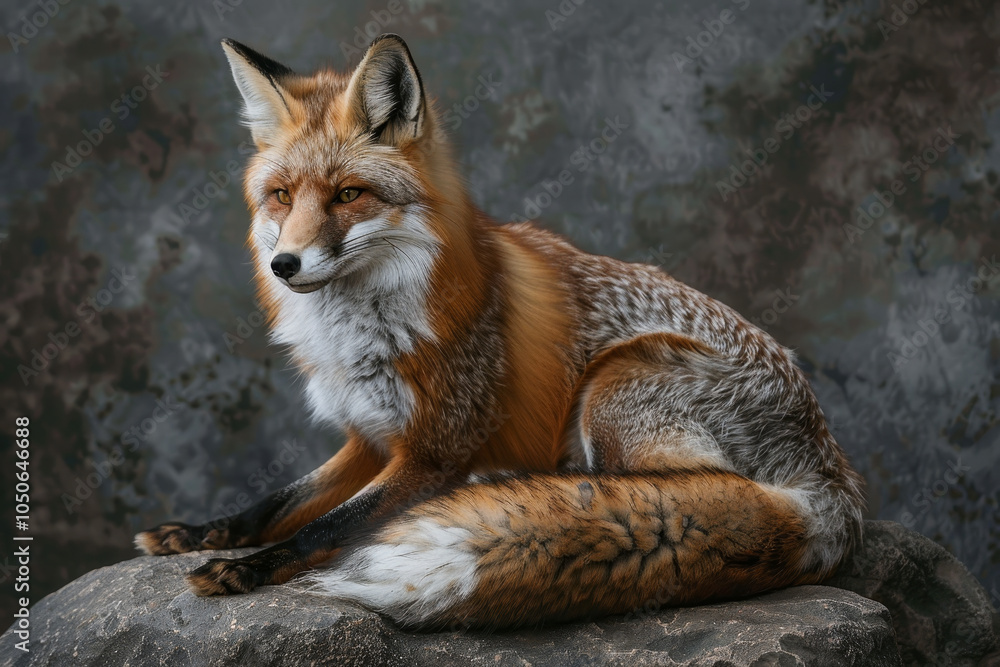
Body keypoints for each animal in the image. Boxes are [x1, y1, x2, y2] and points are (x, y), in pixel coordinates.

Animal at [135, 34, 866, 630]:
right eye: (282, 196)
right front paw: (198, 532)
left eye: (348, 195)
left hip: (616, 386)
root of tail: (836, 477)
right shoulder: (370, 439)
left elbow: (324, 527)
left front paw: (247, 569)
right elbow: (275, 502)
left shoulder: (433, 450)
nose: (284, 264)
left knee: (686, 497)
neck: (361, 334)